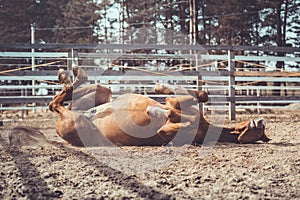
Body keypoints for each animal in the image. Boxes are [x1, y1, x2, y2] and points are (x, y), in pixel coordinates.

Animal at [48, 66, 270, 146]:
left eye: (259, 133)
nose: (260, 121)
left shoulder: (168, 131)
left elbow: (174, 117)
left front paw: (156, 109)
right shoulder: (180, 105)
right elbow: (200, 95)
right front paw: (161, 88)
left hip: (75, 122)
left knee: (56, 105)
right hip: (102, 93)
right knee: (58, 101)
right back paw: (70, 74)